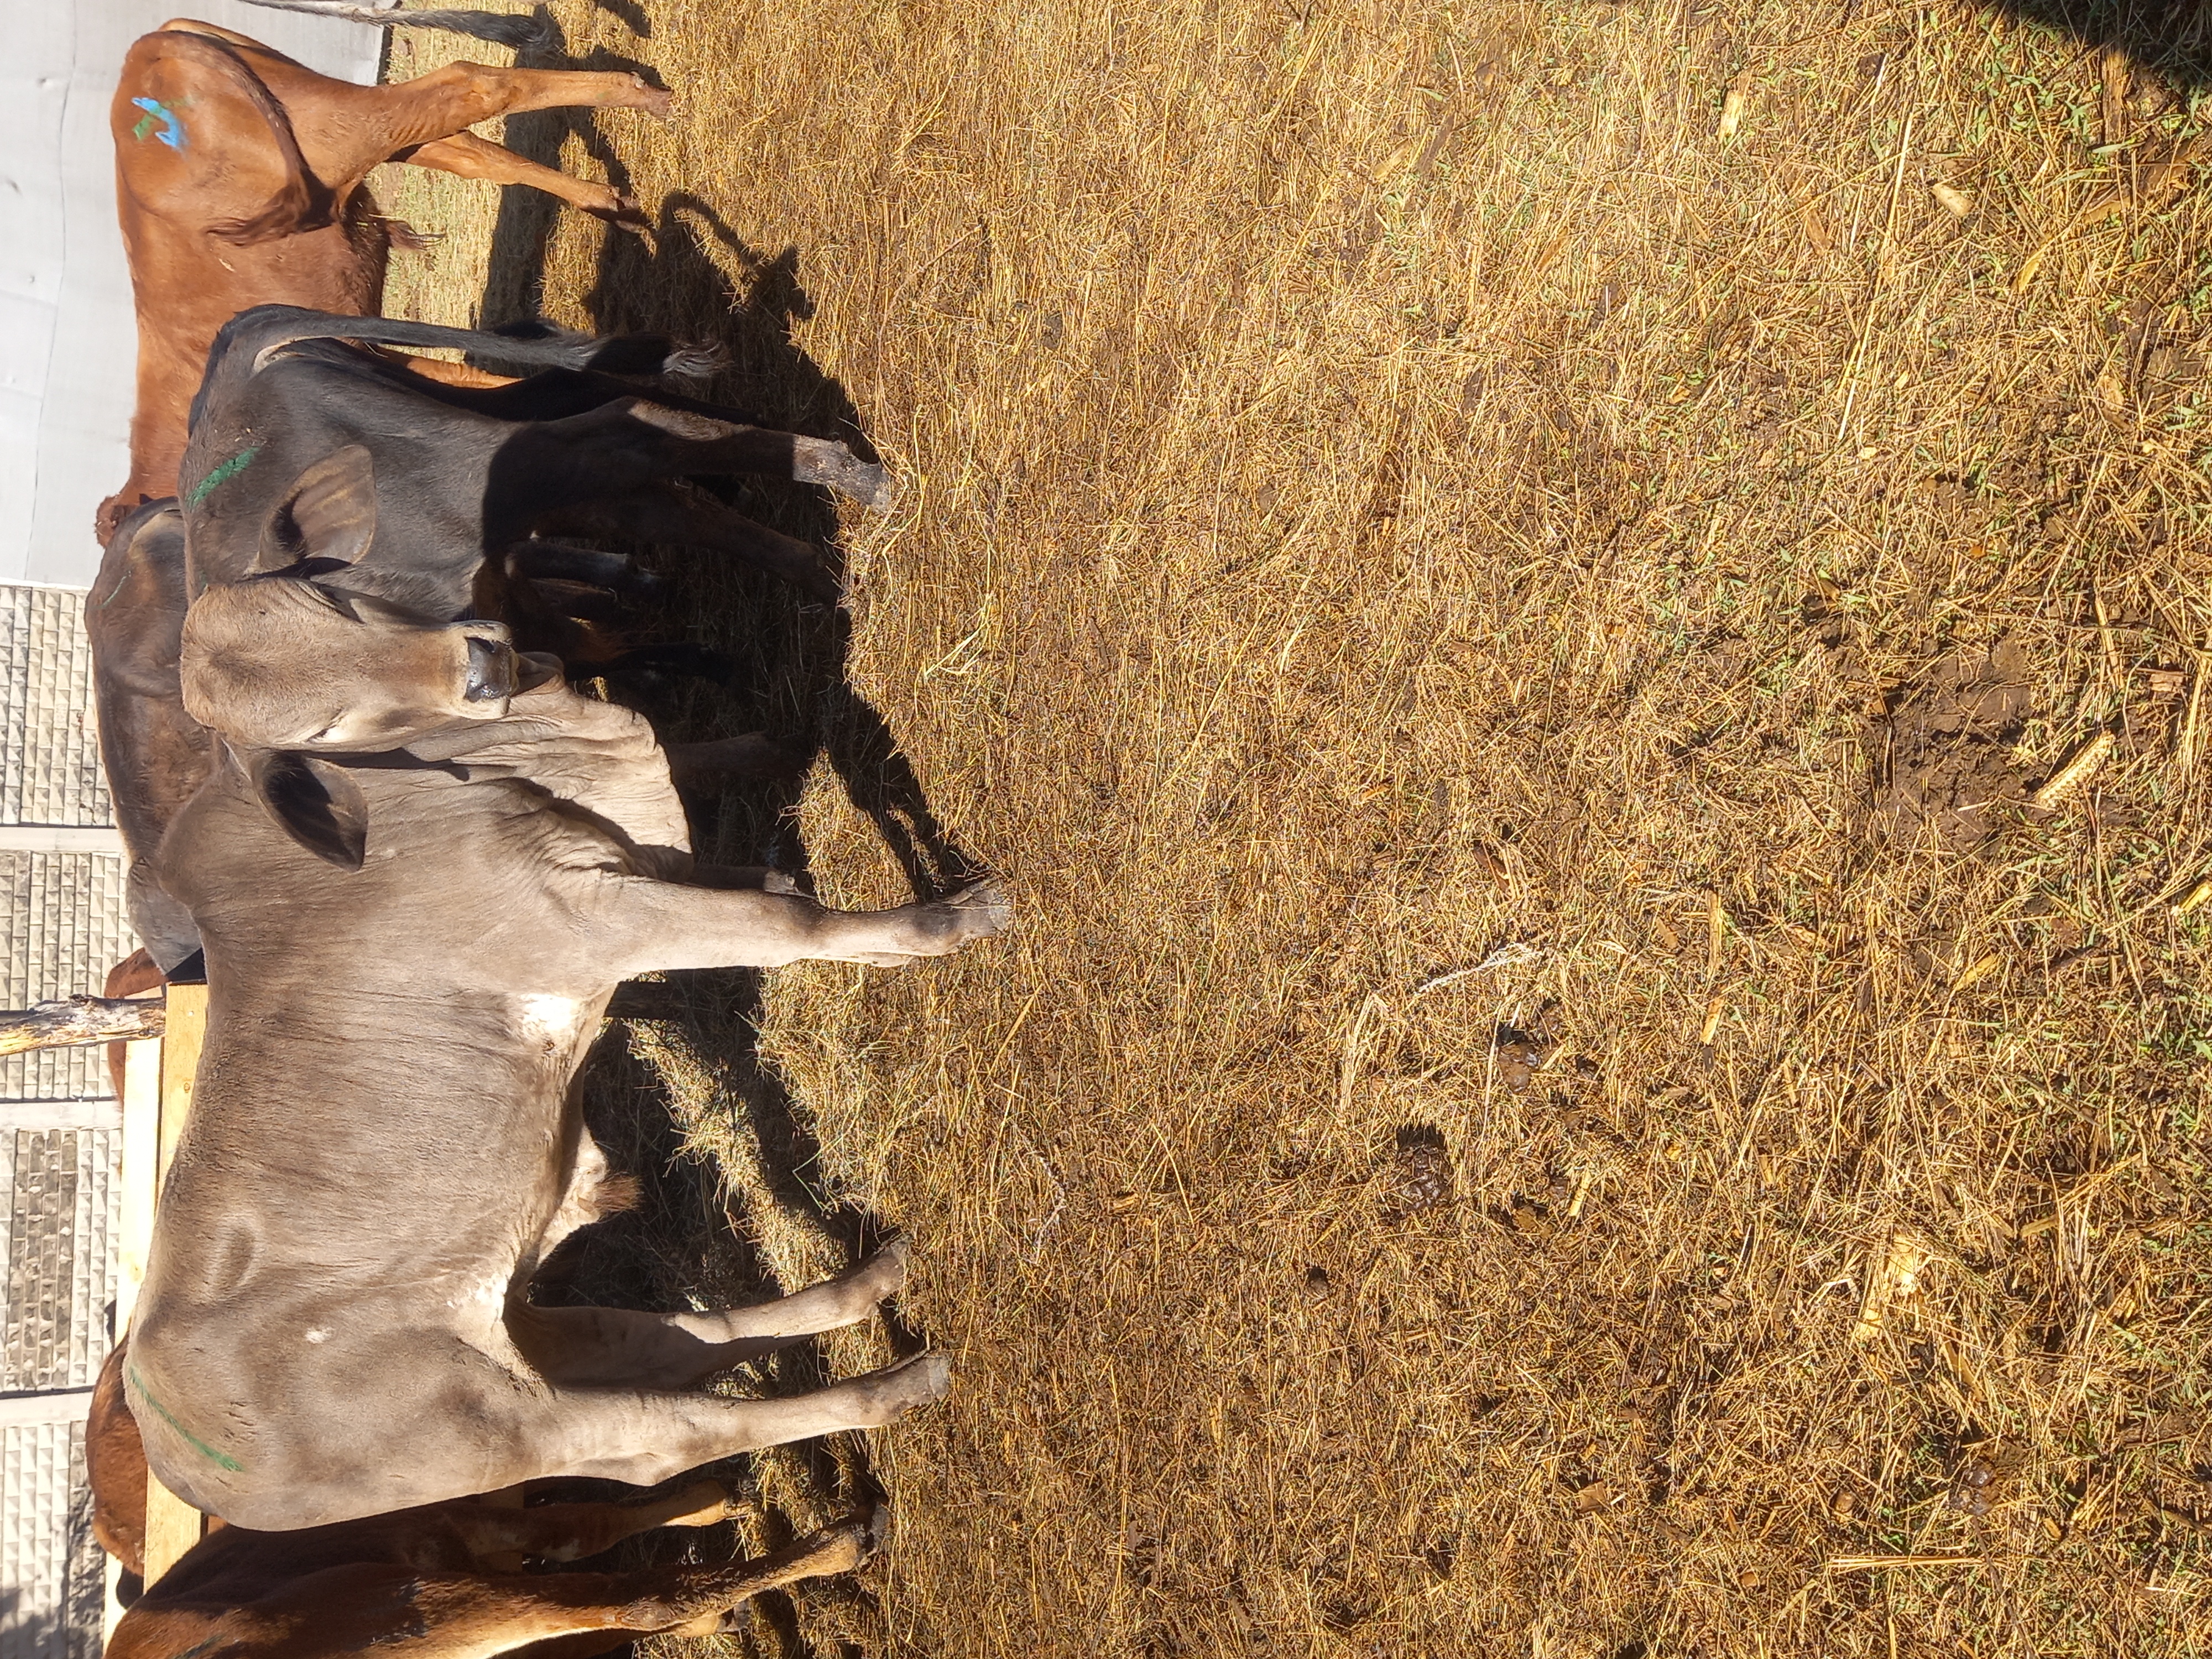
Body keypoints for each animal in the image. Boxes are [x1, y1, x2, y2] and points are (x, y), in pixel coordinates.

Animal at [103, 11, 673, 538]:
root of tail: (148, 48)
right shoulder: (378, 352)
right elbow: (473, 378)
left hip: (352, 132)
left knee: (472, 85)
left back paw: (644, 96)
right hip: (370, 130)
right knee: (475, 153)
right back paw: (612, 201)